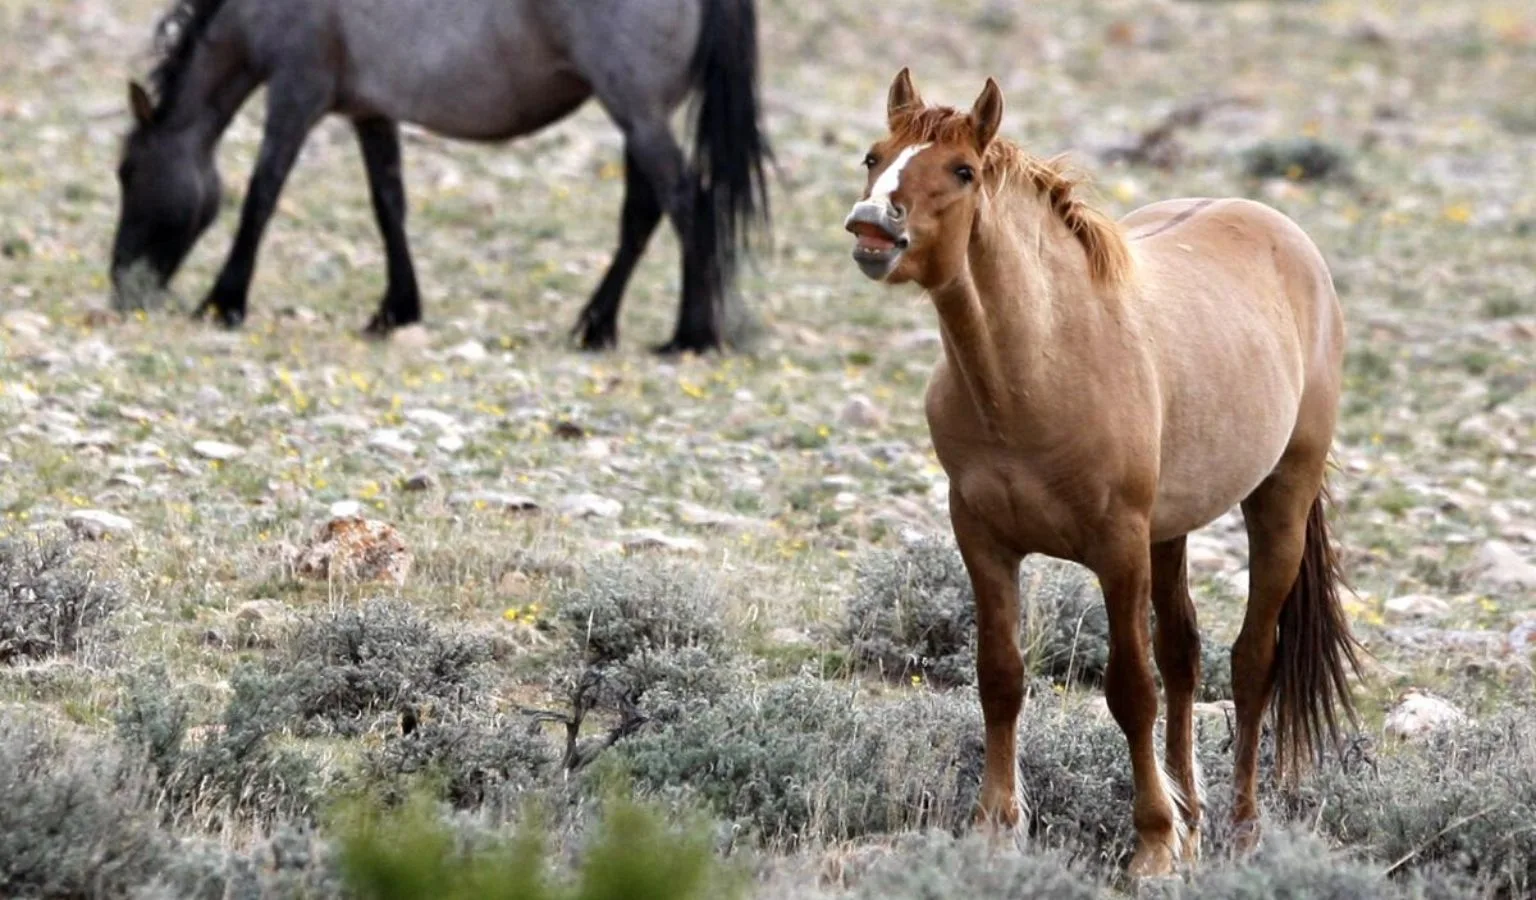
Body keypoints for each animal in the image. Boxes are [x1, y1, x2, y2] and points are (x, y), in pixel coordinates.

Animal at [108, 0, 772, 354]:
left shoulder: (297, 95)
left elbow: (262, 195)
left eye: (126, 172)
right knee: (645, 213)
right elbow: (388, 205)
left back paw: (690, 335)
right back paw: (596, 327)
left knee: (687, 202)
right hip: (640, 119)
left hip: (637, 113)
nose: (122, 287)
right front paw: (395, 310)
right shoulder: (370, 113)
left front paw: (223, 301)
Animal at [844, 68, 1363, 877]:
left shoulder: (1118, 550)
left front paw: (1151, 843)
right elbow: (1001, 676)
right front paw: (996, 827)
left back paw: (1243, 829)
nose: (872, 227)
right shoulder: (982, 539)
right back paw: (1198, 821)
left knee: (1252, 663)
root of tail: (1286, 237)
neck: (1040, 368)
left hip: (1278, 499)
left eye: (961, 171)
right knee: (1185, 655)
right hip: (1171, 532)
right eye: (875, 156)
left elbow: (1130, 690)